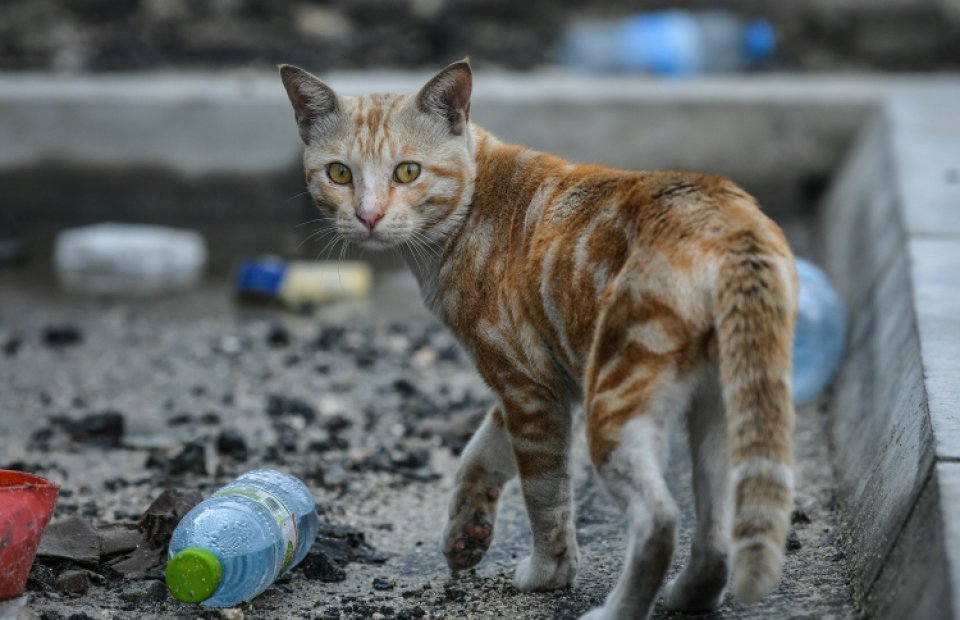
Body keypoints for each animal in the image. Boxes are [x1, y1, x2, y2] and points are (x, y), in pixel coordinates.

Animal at [278, 59, 796, 620]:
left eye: (407, 172)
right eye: (340, 173)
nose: (368, 216)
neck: (469, 210)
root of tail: (729, 223)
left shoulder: (531, 389)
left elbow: (544, 497)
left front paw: (548, 574)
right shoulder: (533, 384)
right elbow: (480, 451)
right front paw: (466, 531)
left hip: (616, 400)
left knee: (659, 520)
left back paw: (616, 610)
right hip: (719, 412)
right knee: (716, 534)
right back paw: (690, 595)